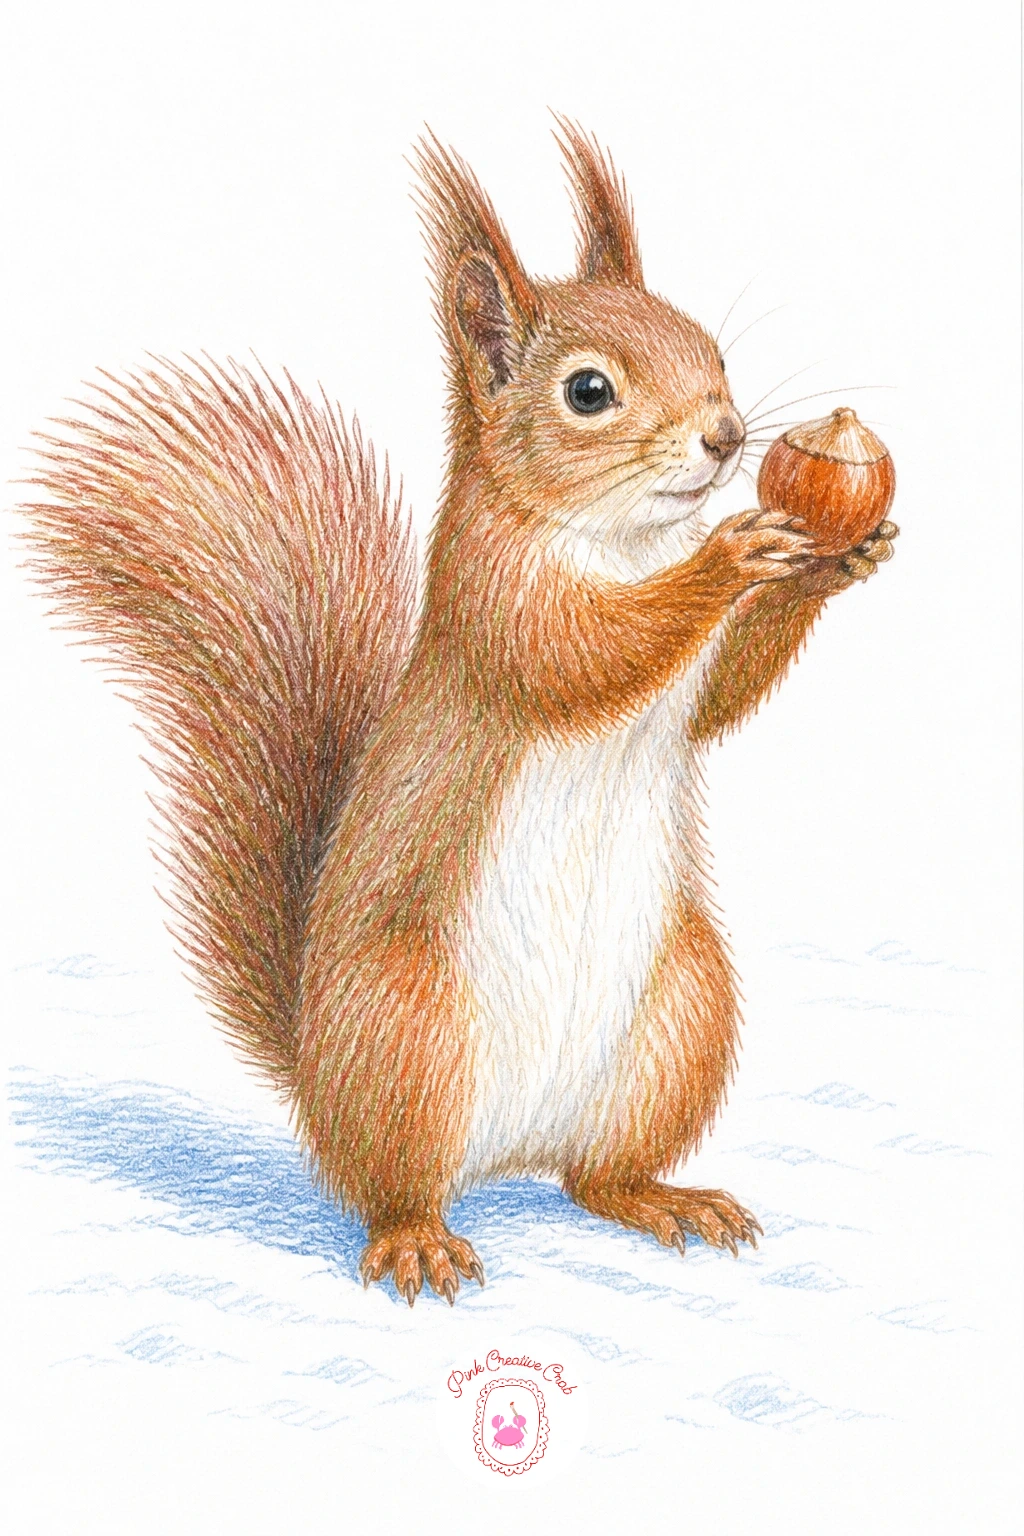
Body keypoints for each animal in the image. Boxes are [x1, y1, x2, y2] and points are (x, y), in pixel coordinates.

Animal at [21, 120, 898, 1305]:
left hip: (682, 1015)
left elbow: (718, 695)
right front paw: (732, 556)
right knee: (395, 1185)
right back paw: (417, 1243)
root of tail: (504, 1153)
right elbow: (582, 655)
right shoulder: (493, 603)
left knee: (595, 1175)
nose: (726, 436)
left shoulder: (684, 678)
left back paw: (662, 1199)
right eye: (588, 391)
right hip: (409, 1033)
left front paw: (837, 559)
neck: (625, 538)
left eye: (709, 347)